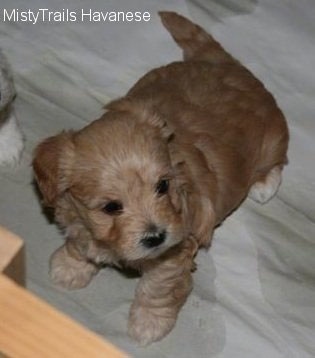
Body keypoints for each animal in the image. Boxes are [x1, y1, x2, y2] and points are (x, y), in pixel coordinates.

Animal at [32, 12, 288, 346]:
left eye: (162, 186)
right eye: (111, 207)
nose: (155, 237)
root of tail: (224, 63)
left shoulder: (174, 252)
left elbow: (156, 290)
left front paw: (148, 323)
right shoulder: (78, 218)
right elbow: (80, 242)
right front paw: (70, 266)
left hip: (273, 139)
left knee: (277, 160)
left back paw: (263, 185)